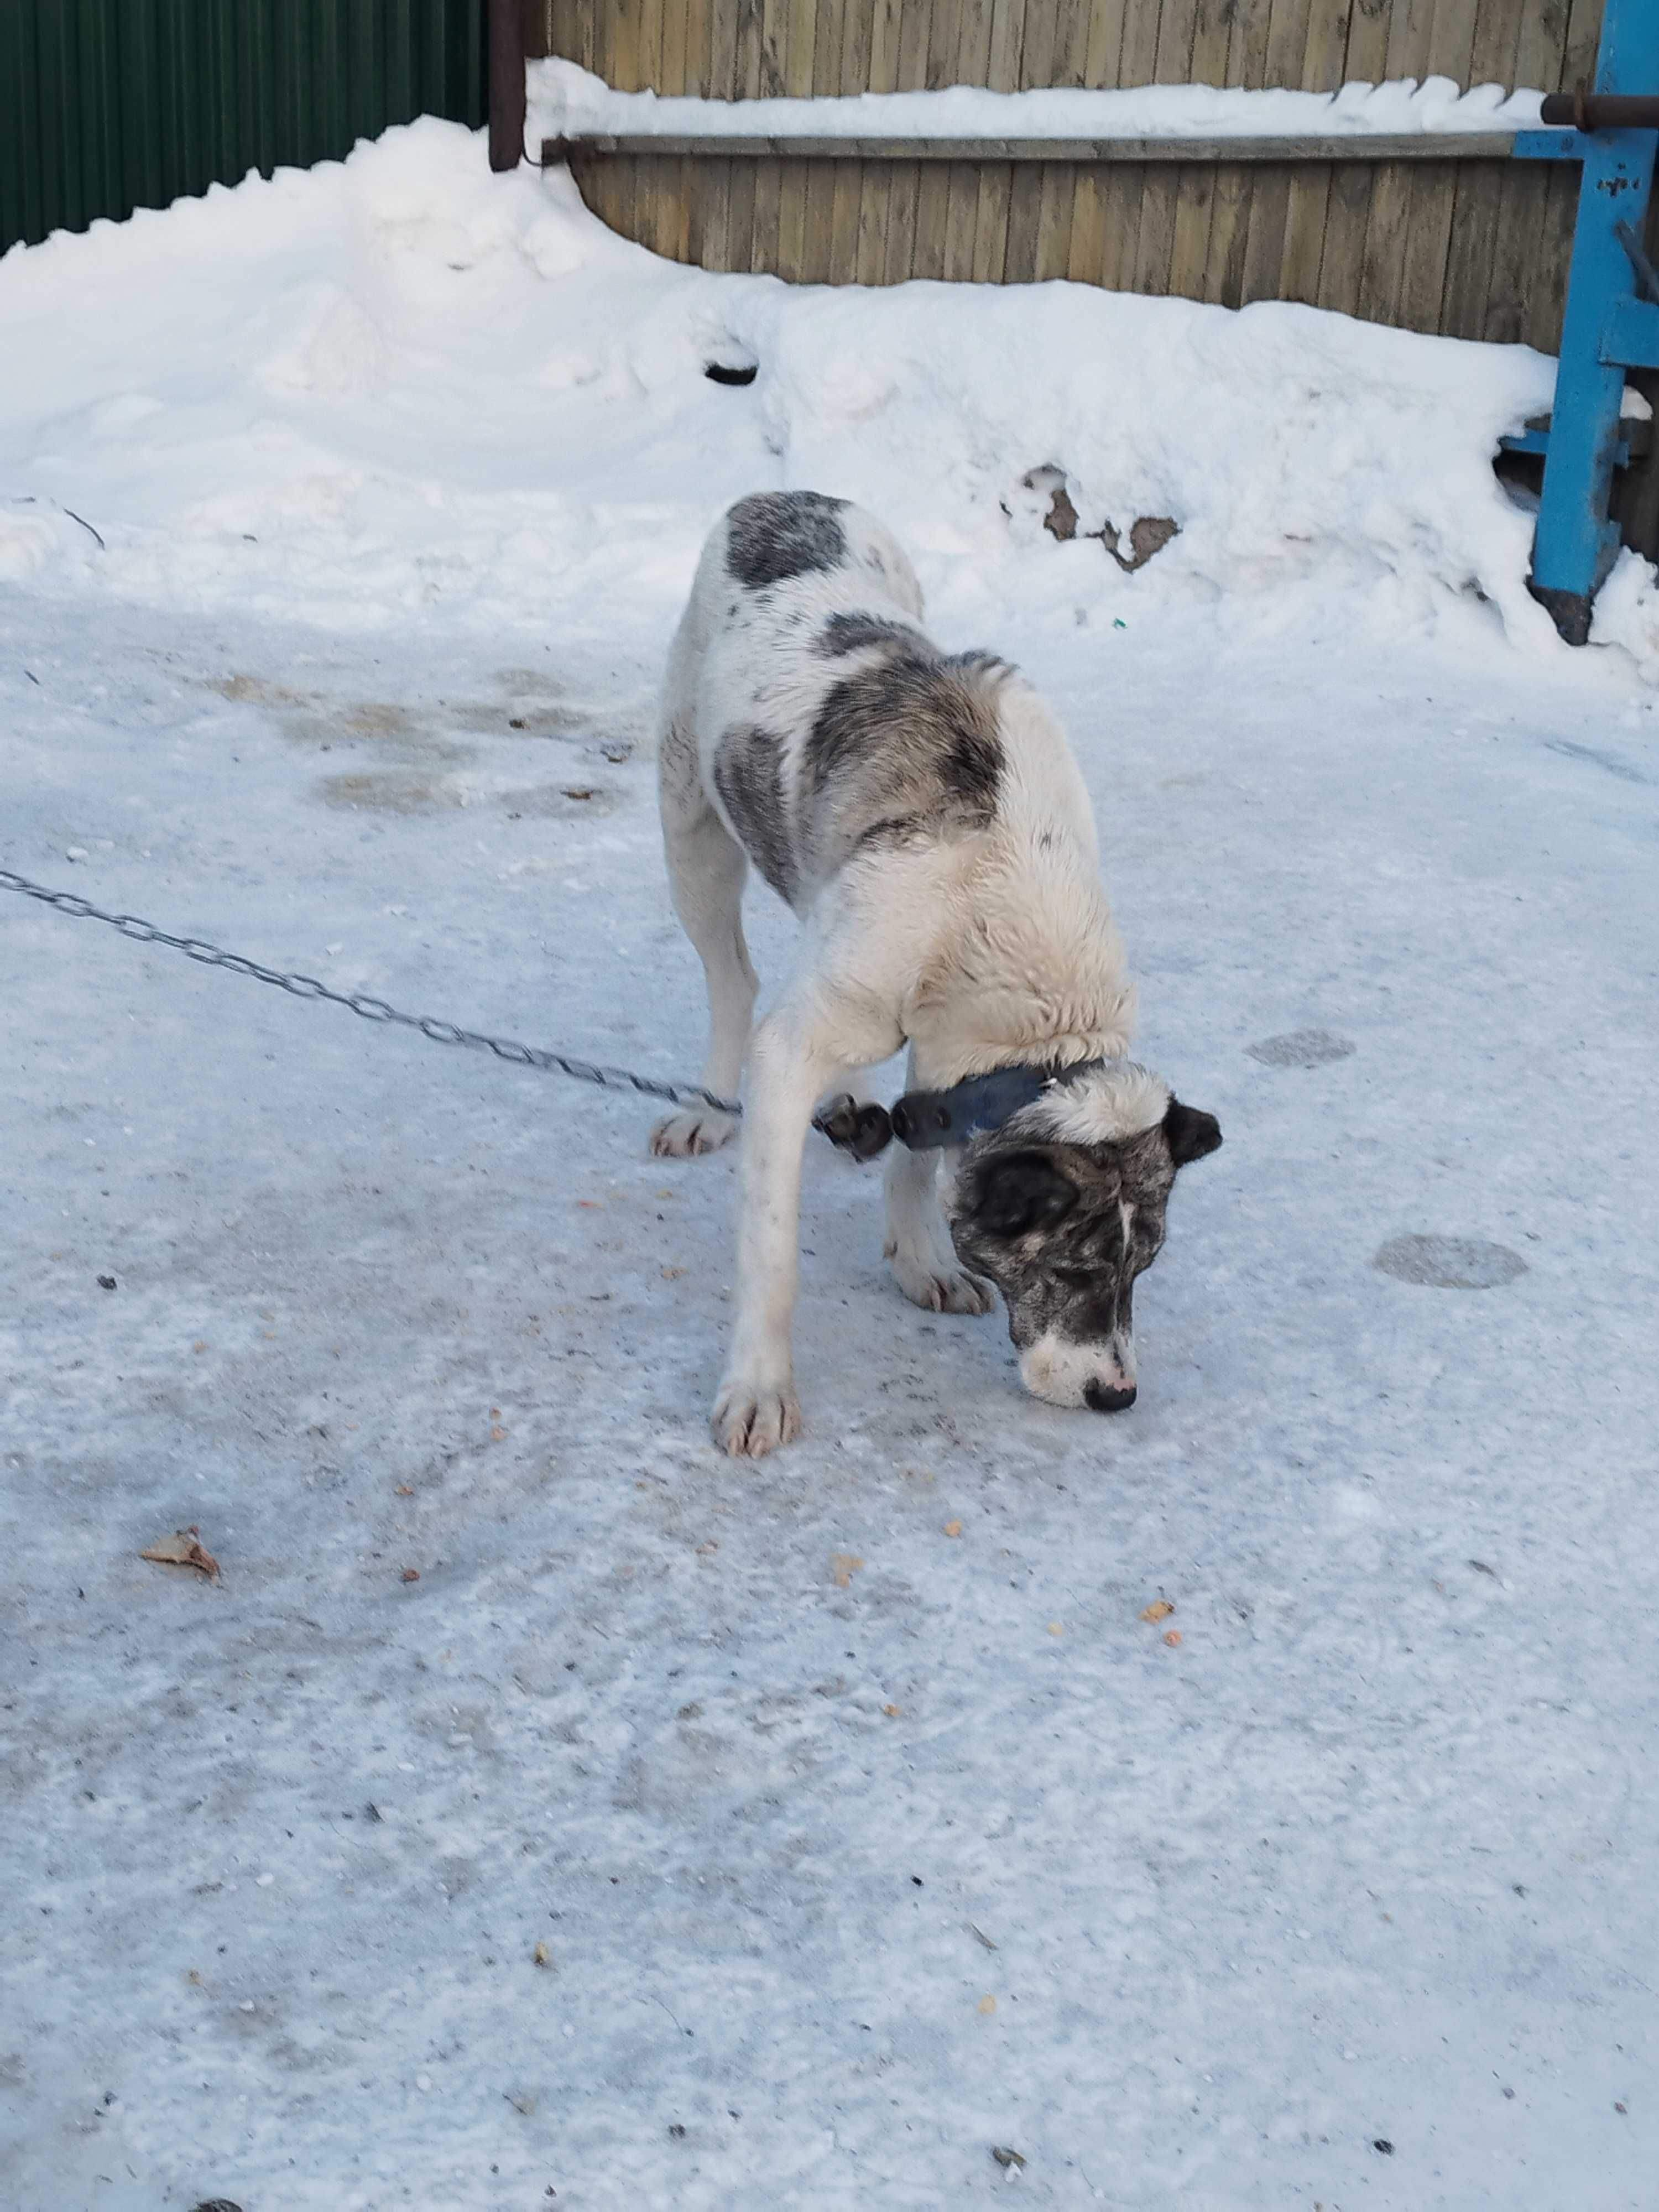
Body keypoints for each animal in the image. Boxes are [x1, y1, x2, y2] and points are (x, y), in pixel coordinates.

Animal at [650, 489, 1221, 1451]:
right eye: (1073, 1269)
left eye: (1145, 1266)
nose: (1118, 1396)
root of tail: (784, 495)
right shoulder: (798, 1045)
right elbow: (771, 1247)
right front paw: (760, 1385)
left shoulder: (945, 1035)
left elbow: (922, 1150)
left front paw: (919, 1257)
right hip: (692, 830)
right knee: (733, 983)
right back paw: (711, 1106)